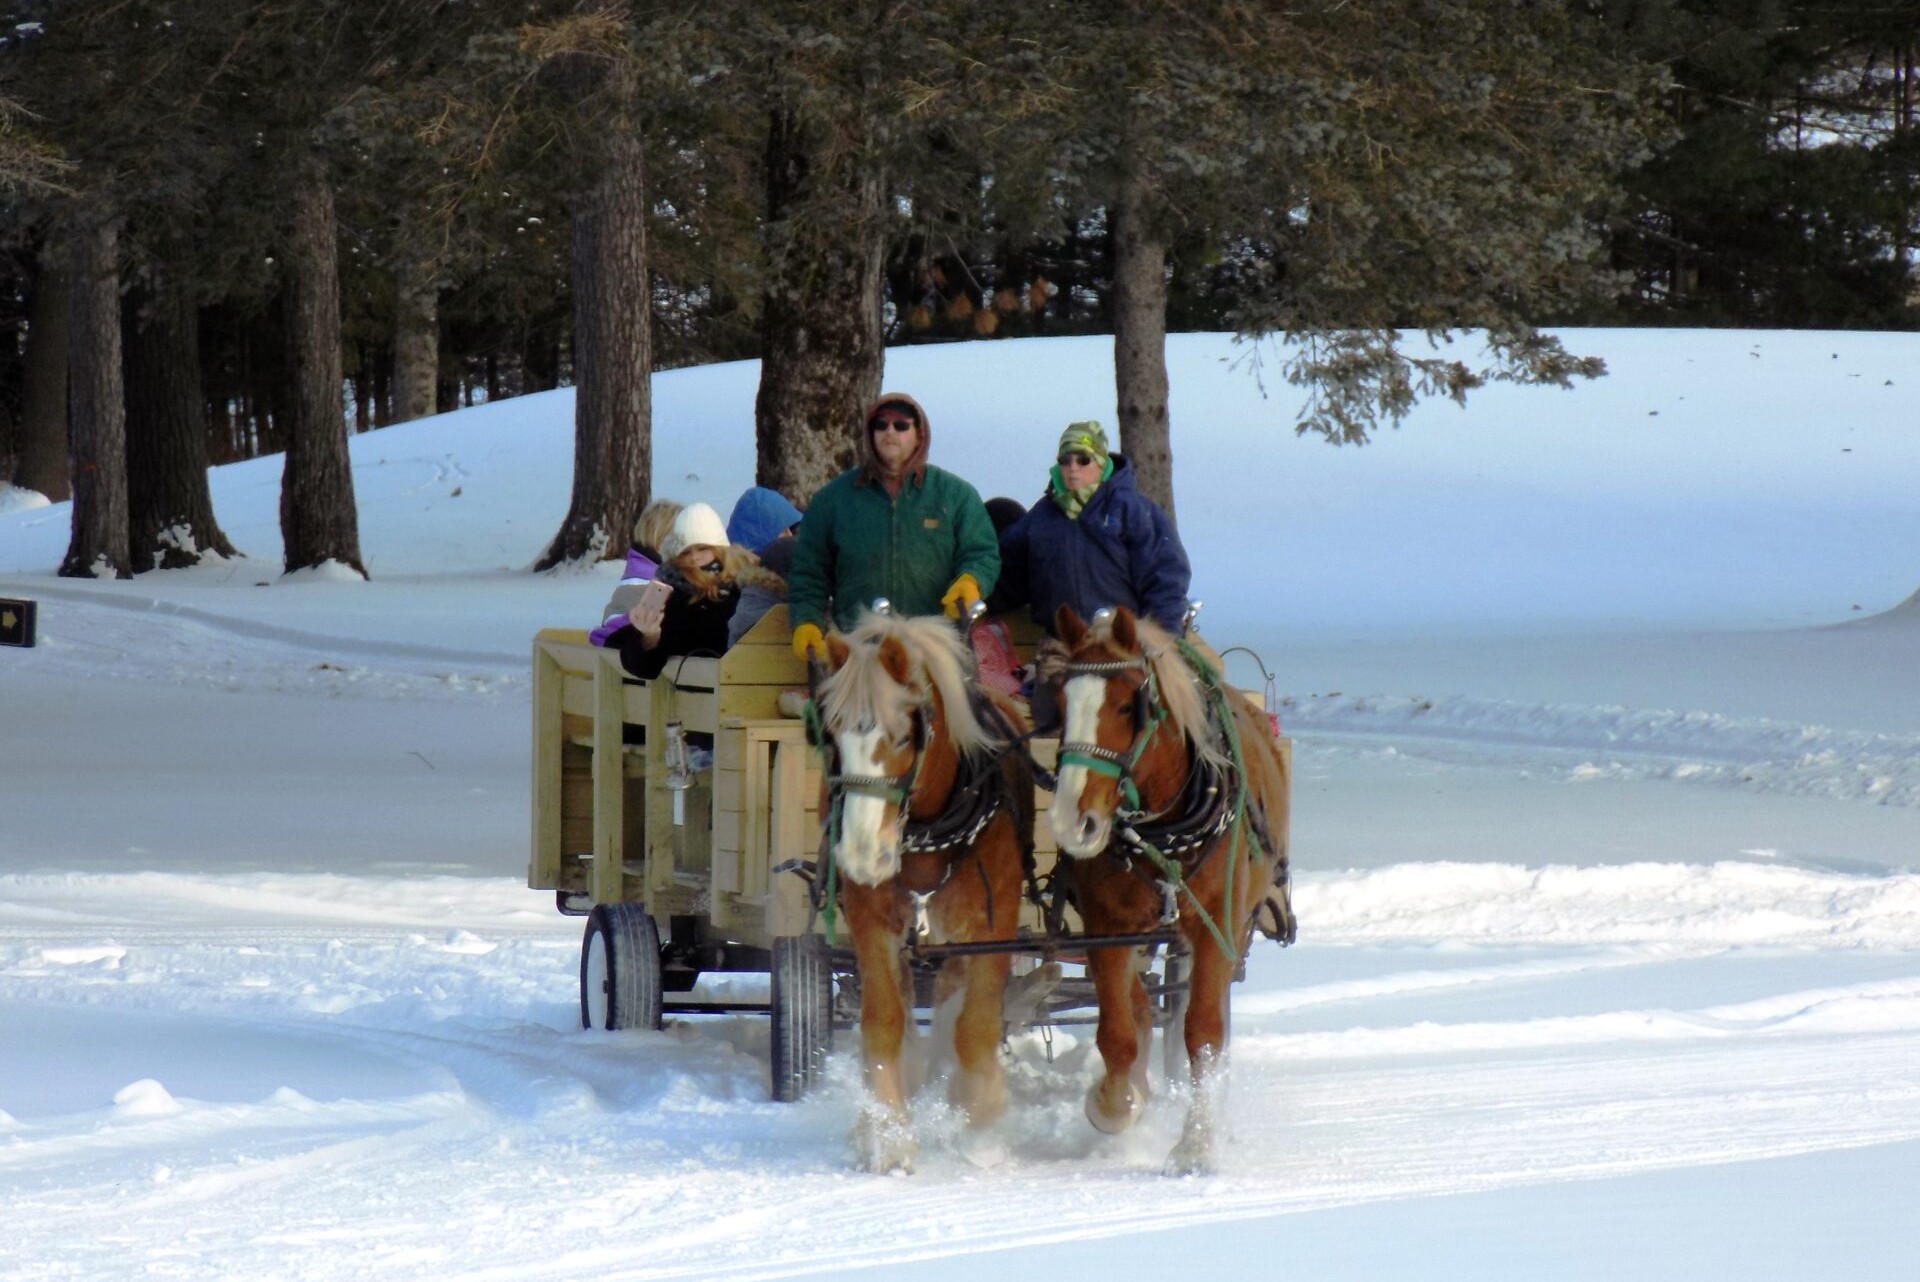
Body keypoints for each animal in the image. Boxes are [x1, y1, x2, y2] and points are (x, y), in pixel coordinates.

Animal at [816, 613, 1035, 1173]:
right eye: (831, 735)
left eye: (902, 737)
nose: (862, 853)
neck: (931, 829)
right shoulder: (871, 921)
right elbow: (884, 1022)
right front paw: (887, 1133)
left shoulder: (994, 925)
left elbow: (975, 1026)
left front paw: (981, 1127)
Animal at [1046, 604, 1293, 1173]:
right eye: (1062, 703)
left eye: (1125, 705)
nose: (1071, 822)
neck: (1163, 828)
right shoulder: (1106, 927)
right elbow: (1117, 1030)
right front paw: (1115, 1105)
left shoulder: (1215, 925)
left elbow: (1202, 1032)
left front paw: (1195, 1145)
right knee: (1139, 1004)